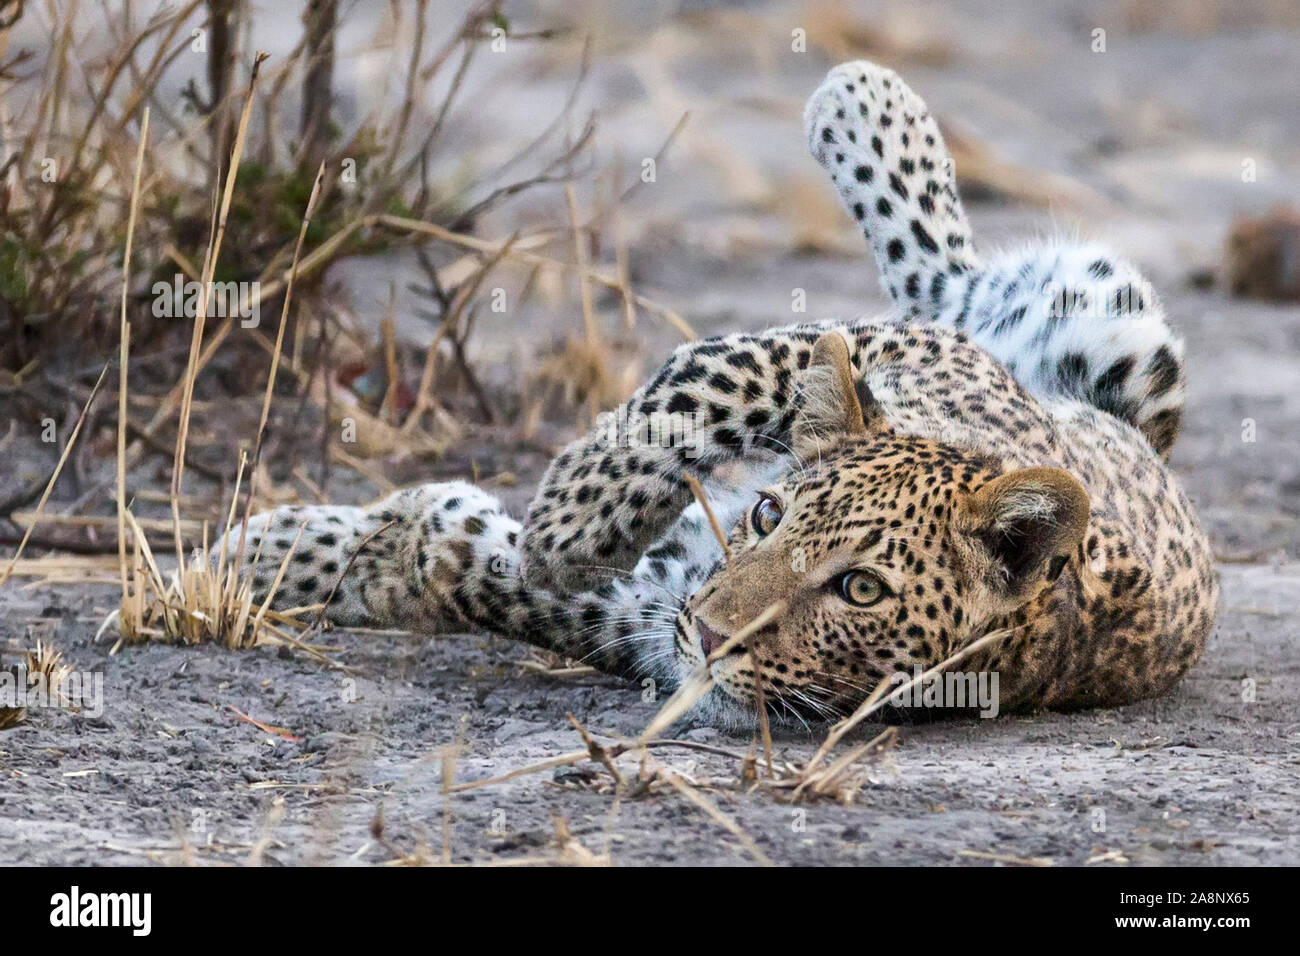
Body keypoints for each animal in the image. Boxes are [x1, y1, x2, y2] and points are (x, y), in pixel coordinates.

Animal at [218, 59, 1222, 728]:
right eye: (772, 516)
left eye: (860, 589)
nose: (706, 636)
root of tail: (1155, 449)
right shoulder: (903, 354)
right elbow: (719, 372)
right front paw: (574, 513)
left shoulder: (637, 617)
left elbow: (481, 570)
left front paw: (341, 553)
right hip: (1096, 313)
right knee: (948, 273)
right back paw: (866, 100)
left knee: (945, 265)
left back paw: (859, 95)